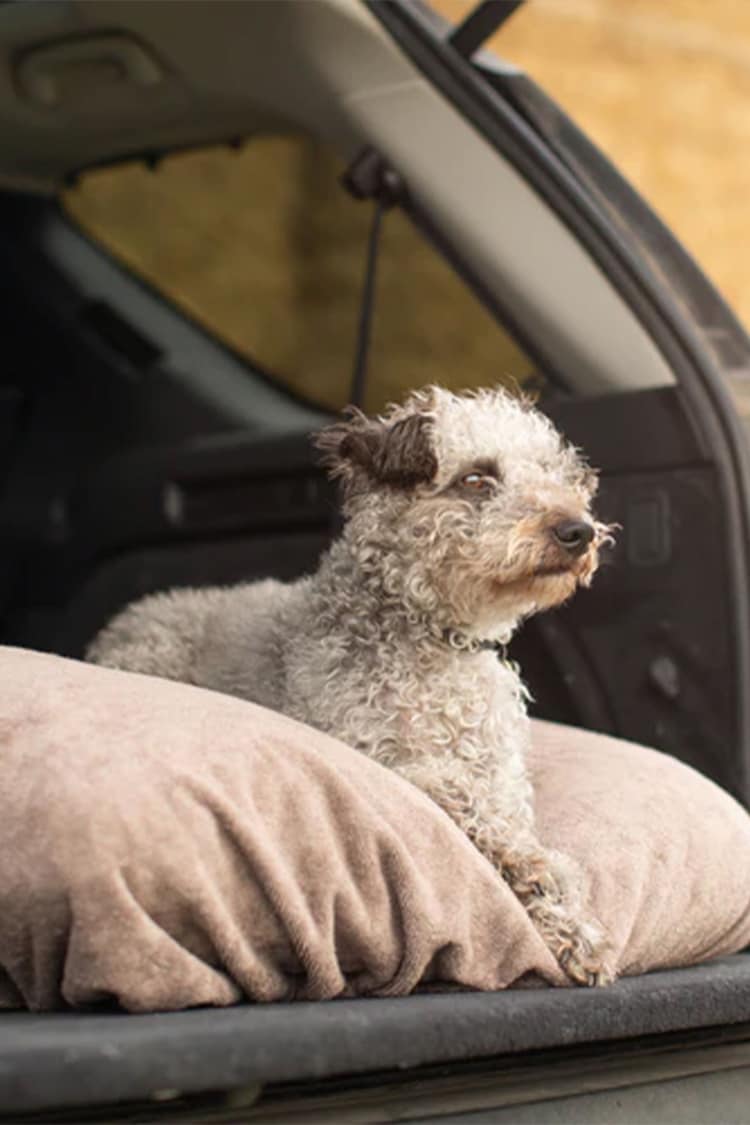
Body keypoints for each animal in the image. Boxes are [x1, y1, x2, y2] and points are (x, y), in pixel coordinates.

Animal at [88, 384, 616, 985]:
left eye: (554, 474)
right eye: (476, 479)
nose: (578, 531)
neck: (432, 640)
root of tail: (125, 620)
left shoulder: (502, 778)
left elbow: (522, 832)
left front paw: (573, 919)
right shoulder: (384, 759)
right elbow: (475, 808)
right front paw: (542, 881)